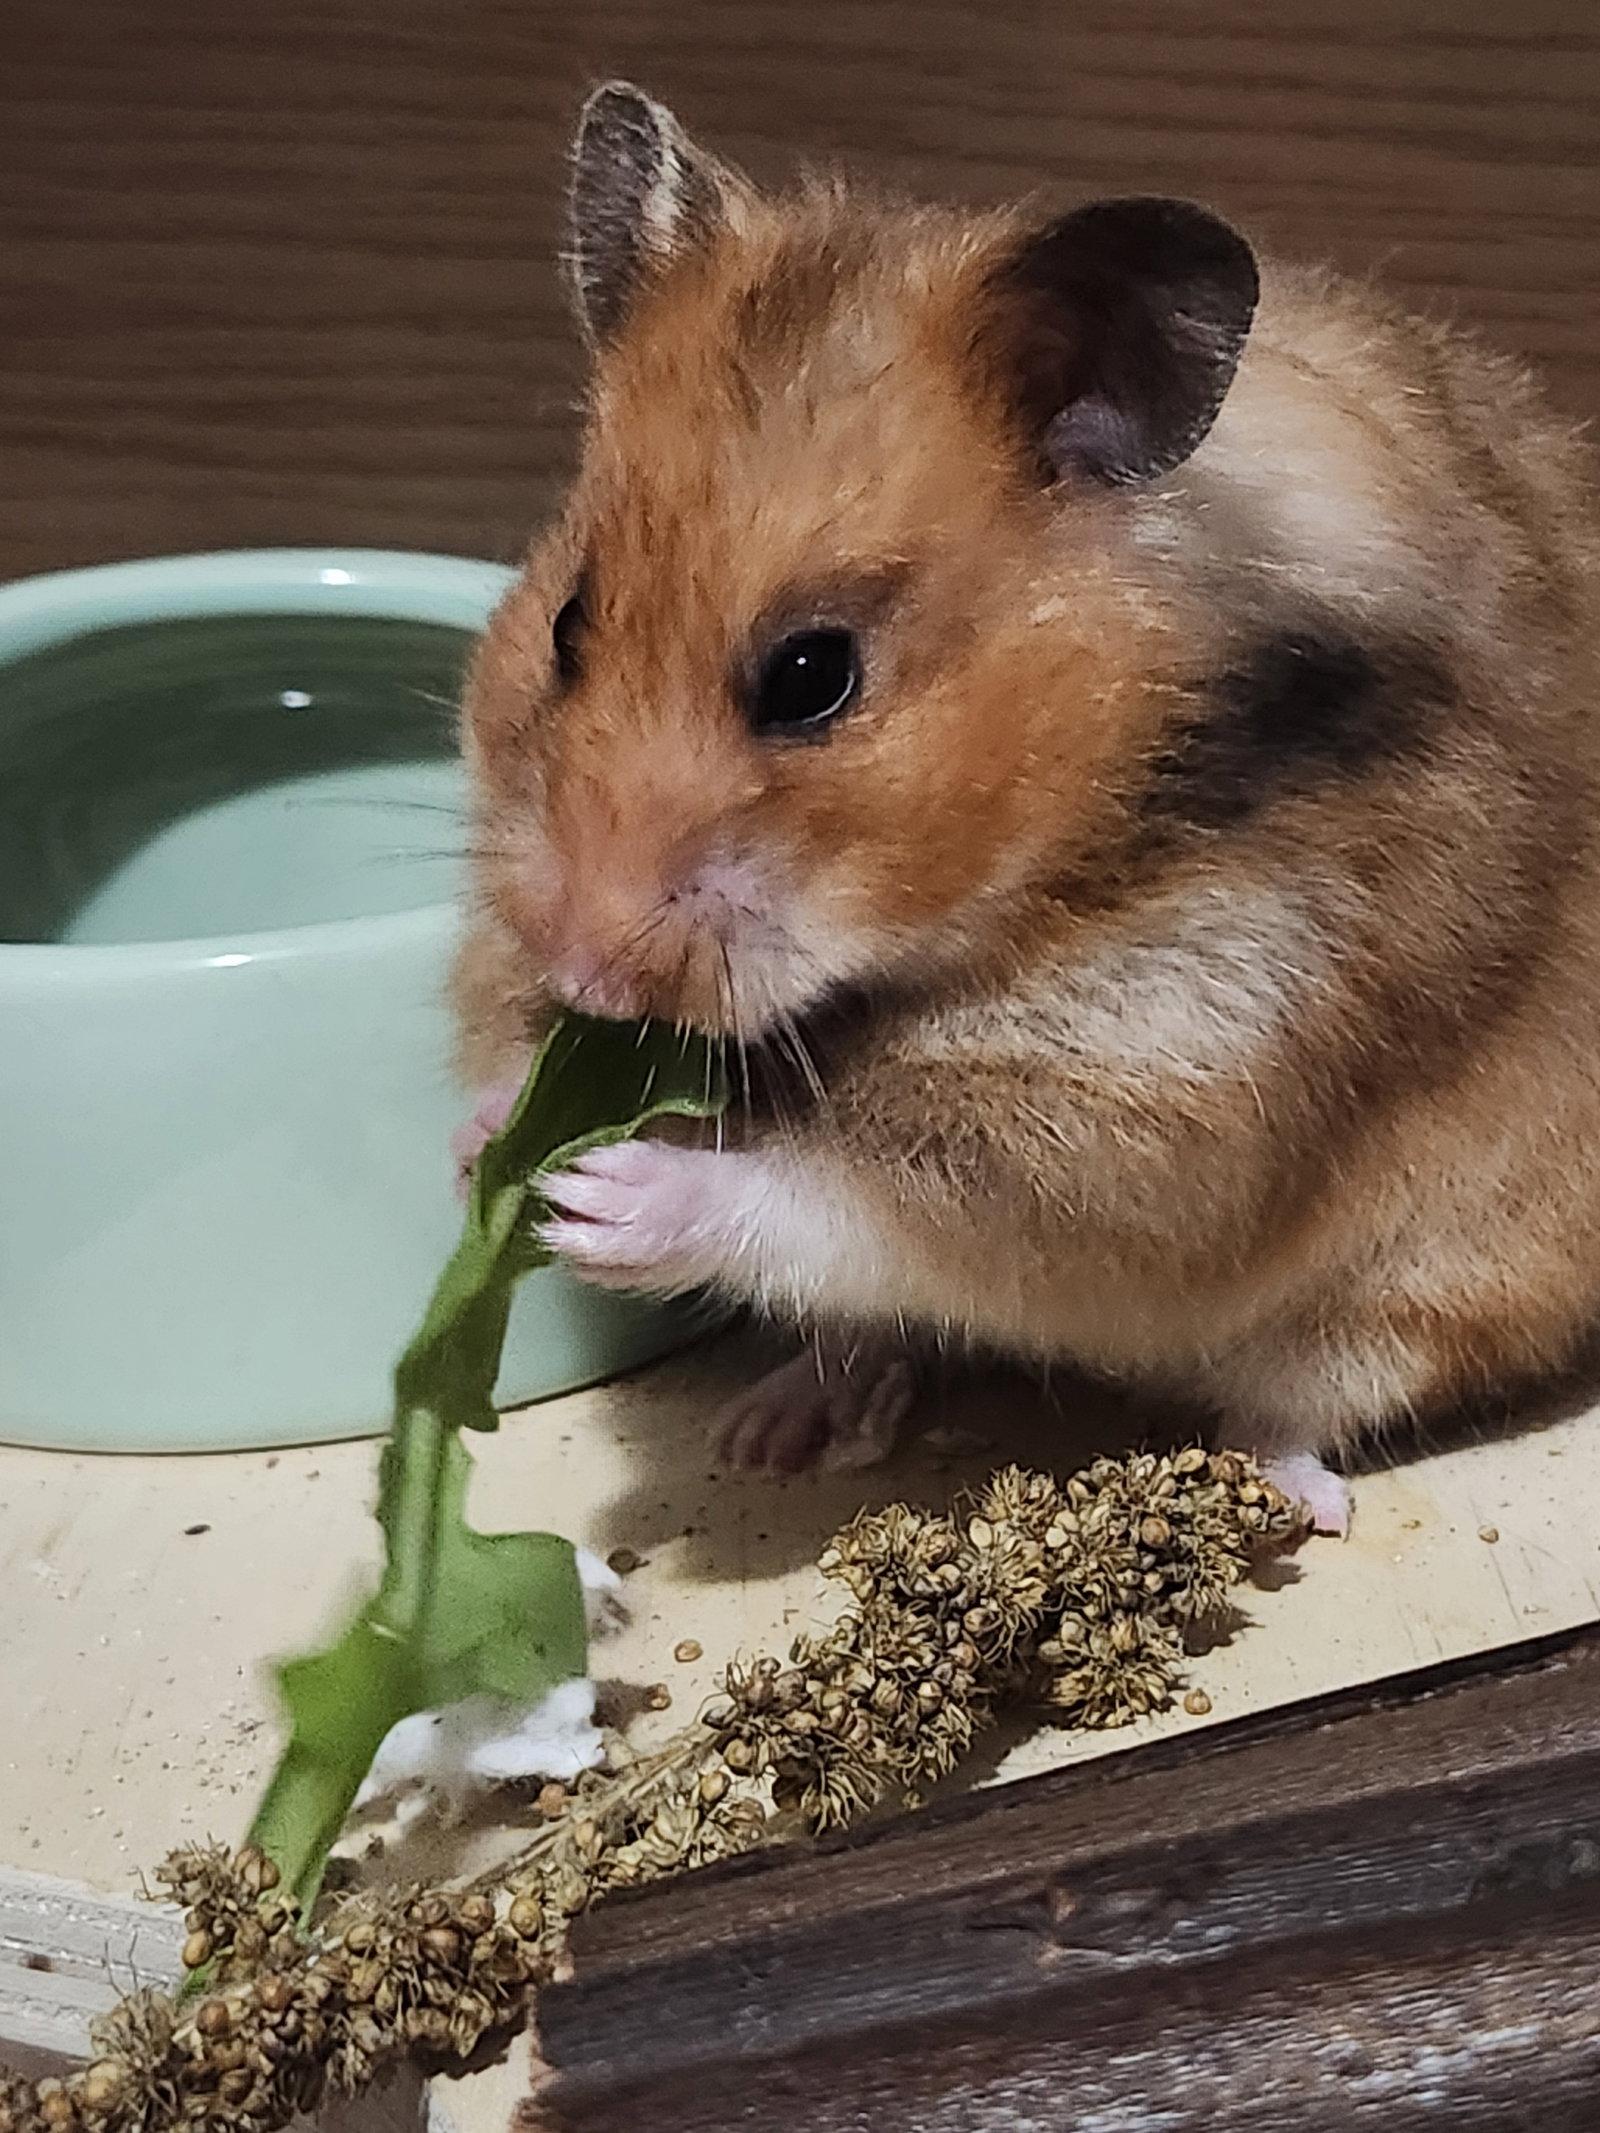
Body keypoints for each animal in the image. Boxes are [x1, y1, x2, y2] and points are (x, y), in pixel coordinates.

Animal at [454, 83, 1600, 1535]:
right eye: (567, 624)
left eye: (813, 676)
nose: (585, 975)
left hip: (1437, 1292)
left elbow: (847, 1195)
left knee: (1301, 1397)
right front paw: (489, 1141)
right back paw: (771, 1430)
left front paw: (593, 1195)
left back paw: (1291, 1500)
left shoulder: (1156, 1103)